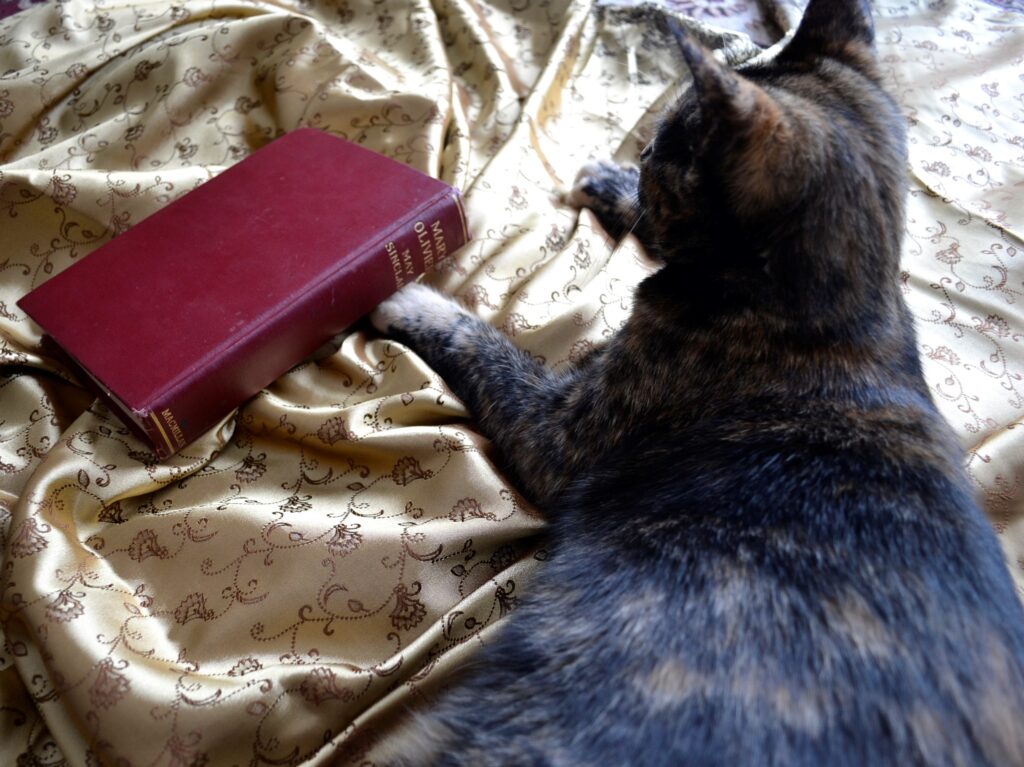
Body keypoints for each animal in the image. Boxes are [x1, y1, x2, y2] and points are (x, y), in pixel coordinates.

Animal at [368, 2, 1024, 761]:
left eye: (665, 149)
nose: (643, 156)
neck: (844, 312)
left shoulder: (557, 438)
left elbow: (479, 339)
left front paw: (406, 295)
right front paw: (610, 184)